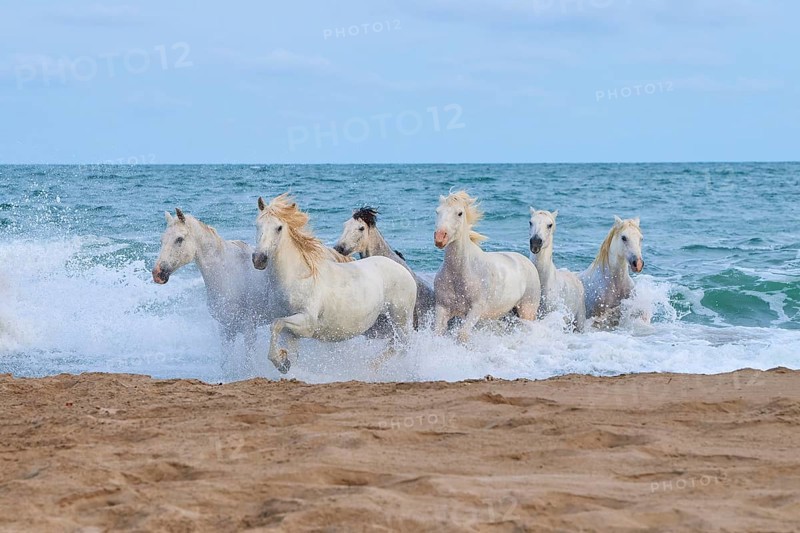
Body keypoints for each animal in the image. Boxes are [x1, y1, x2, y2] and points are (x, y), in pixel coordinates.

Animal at [152, 209, 277, 361]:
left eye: (179, 239)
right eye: (162, 240)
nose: (157, 273)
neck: (228, 275)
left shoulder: (249, 329)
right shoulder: (226, 328)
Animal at [252, 194, 417, 374]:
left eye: (279, 227)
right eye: (257, 225)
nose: (259, 259)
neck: (297, 277)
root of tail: (404, 270)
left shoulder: (307, 323)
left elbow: (276, 324)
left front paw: (280, 361)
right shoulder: (291, 332)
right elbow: (288, 346)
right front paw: (284, 363)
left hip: (401, 318)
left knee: (403, 345)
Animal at [433, 191, 541, 343]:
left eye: (459, 213)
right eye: (437, 211)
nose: (439, 238)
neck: (460, 272)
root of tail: (527, 262)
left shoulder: (476, 309)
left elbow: (462, 335)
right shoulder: (442, 308)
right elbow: (437, 333)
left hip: (527, 309)